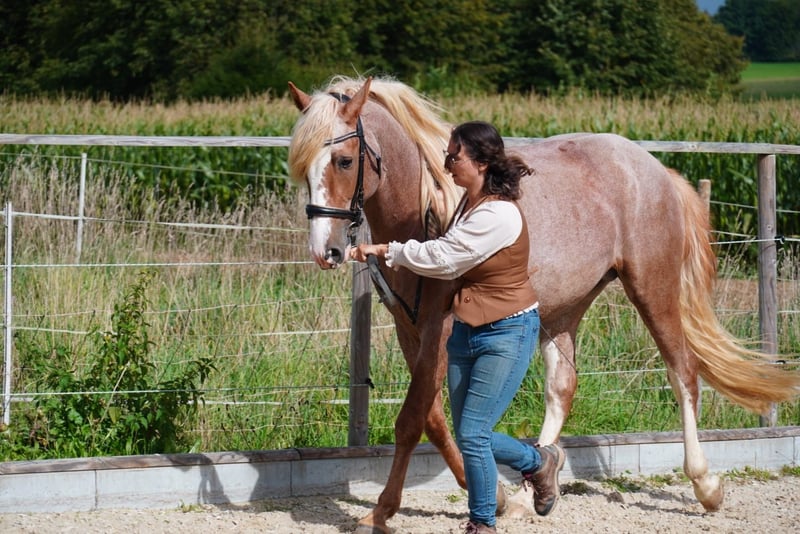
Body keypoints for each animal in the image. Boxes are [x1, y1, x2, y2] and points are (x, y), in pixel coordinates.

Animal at [286, 75, 800, 533]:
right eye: (303, 165)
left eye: (345, 160)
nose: (327, 251)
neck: (426, 205)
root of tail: (655, 170)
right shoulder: (409, 328)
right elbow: (434, 418)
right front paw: (495, 496)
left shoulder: (439, 326)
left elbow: (413, 419)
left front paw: (381, 512)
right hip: (564, 309)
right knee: (562, 389)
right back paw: (533, 489)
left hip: (652, 288)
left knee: (683, 373)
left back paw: (705, 485)